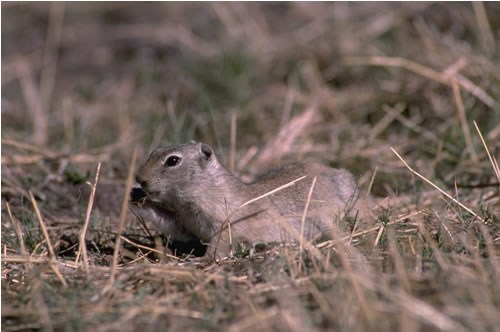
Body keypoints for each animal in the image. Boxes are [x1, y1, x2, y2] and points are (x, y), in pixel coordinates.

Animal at [131, 141, 360, 258]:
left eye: (173, 161)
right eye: (153, 151)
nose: (139, 178)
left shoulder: (228, 222)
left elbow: (220, 245)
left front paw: (200, 261)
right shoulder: (186, 221)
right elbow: (176, 228)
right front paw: (136, 197)